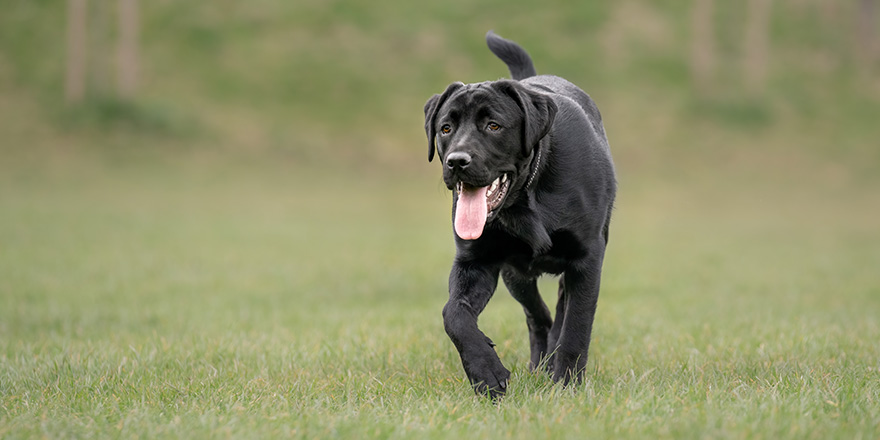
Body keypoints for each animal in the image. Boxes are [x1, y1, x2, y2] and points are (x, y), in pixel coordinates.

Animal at [422, 29, 616, 398]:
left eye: (494, 126)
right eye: (446, 128)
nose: (457, 161)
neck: (528, 198)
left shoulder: (587, 258)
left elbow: (577, 326)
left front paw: (567, 383)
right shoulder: (475, 261)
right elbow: (454, 314)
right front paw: (486, 373)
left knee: (560, 312)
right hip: (517, 276)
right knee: (538, 317)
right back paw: (539, 363)